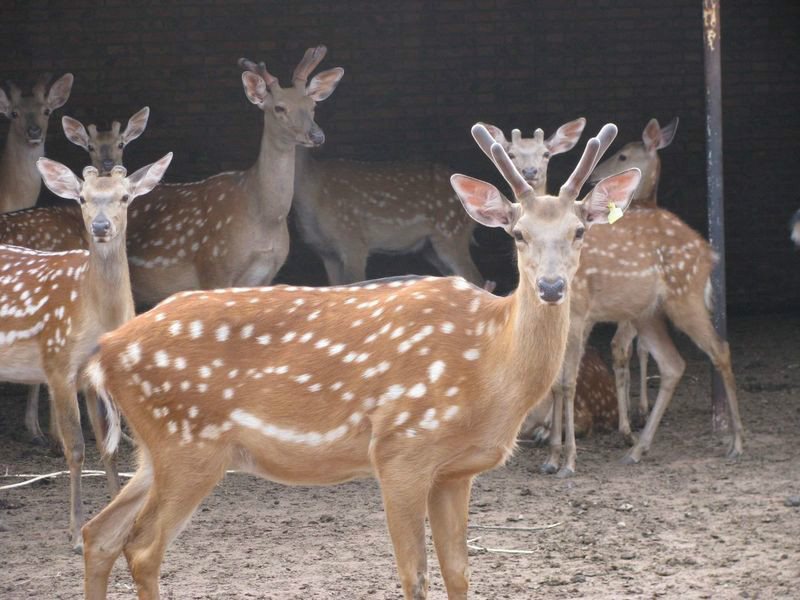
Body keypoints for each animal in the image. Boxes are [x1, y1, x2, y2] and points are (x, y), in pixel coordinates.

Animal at [0, 152, 173, 552]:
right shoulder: (57, 364)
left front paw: (116, 523)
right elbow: (76, 447)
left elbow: (108, 447)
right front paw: (76, 532)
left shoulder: (95, 378)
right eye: (82, 197)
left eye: (125, 196)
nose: (100, 225)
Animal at [81, 122, 640, 600]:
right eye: (517, 233)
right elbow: (414, 574)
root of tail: (105, 350)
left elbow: (459, 575)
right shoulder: (400, 448)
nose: (551, 286)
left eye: (580, 231)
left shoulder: (455, 471)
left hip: (157, 449)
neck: (489, 368)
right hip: (188, 442)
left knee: (98, 533)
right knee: (142, 547)